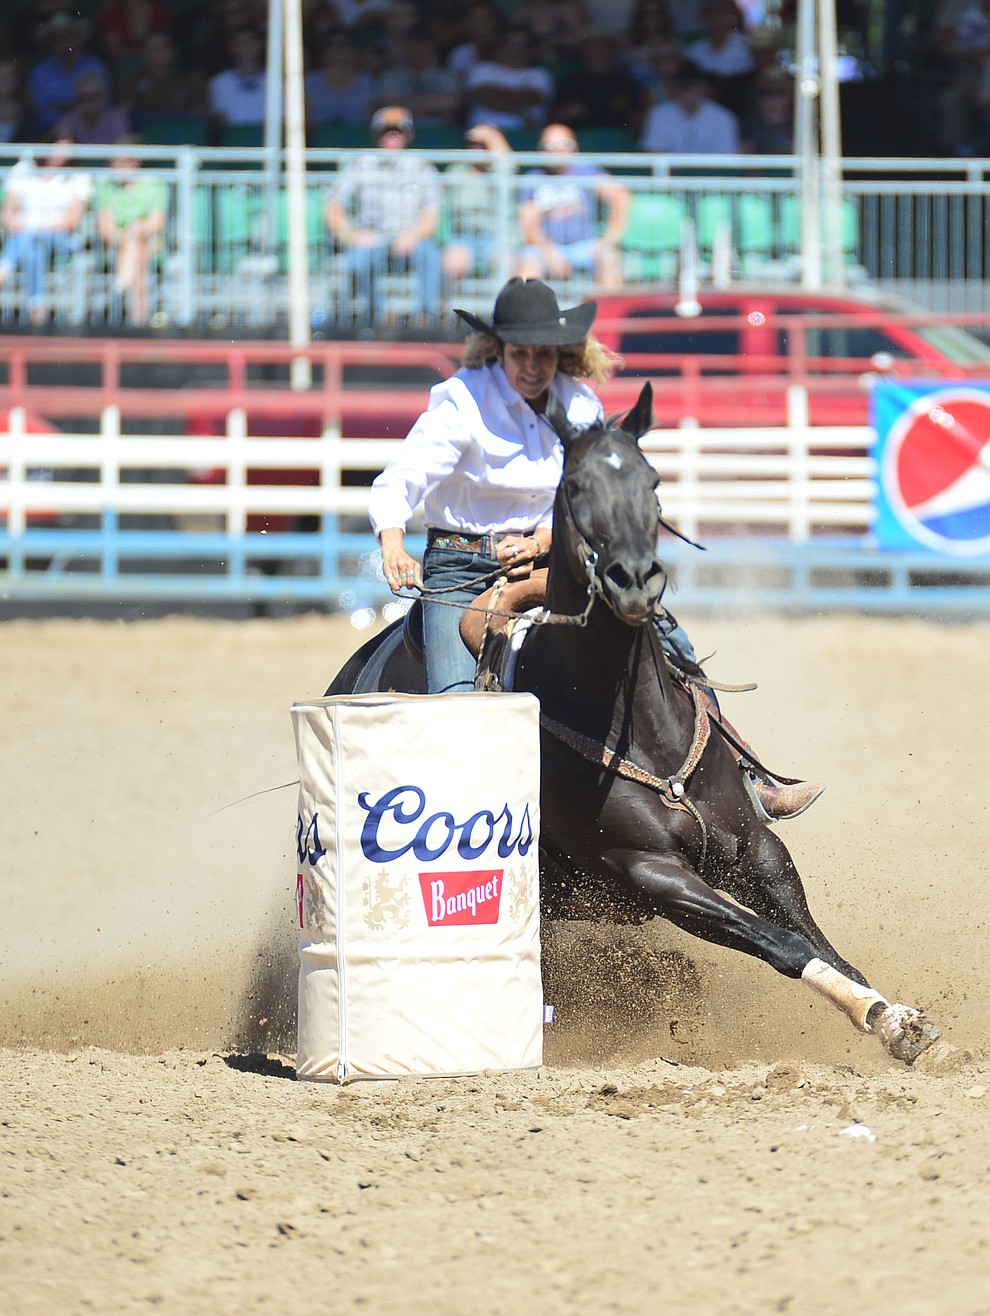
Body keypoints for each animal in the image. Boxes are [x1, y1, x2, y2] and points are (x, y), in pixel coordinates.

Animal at [329, 384, 937, 1063]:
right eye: (575, 486)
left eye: (651, 480)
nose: (634, 580)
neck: (640, 729)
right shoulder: (651, 874)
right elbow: (784, 945)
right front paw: (880, 1016)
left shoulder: (754, 846)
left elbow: (815, 938)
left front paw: (897, 1018)